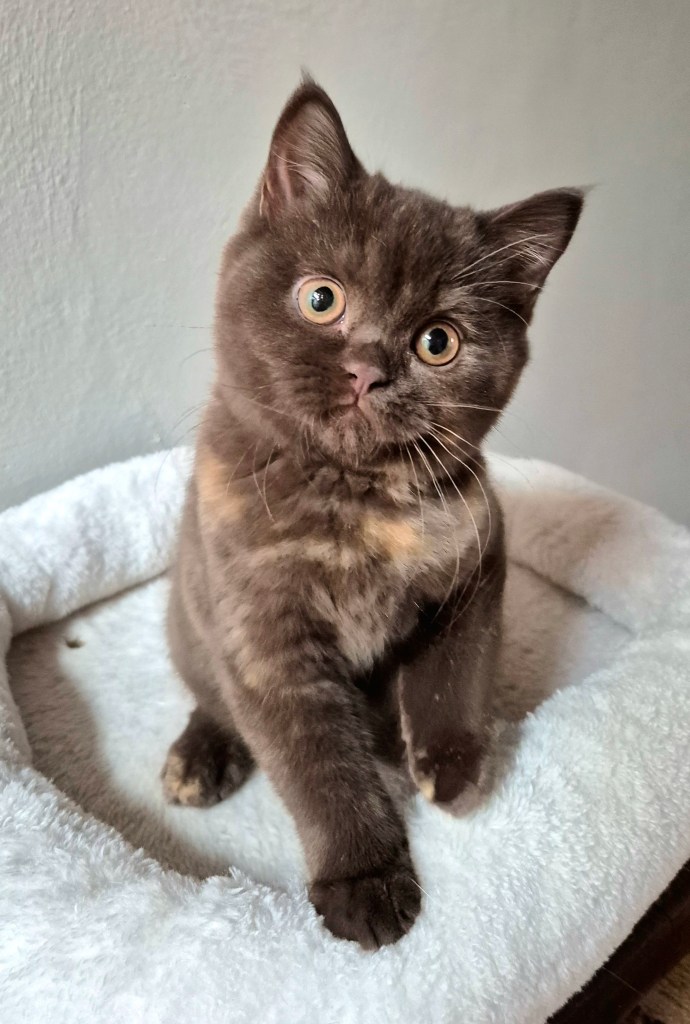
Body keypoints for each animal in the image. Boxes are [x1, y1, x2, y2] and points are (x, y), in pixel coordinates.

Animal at [162, 77, 583, 949]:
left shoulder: (480, 558)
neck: (354, 505)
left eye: (437, 342)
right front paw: (365, 882)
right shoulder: (265, 639)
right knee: (211, 693)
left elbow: (457, 668)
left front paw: (450, 764)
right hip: (190, 617)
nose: (368, 370)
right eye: (322, 299)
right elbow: (320, 766)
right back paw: (200, 754)